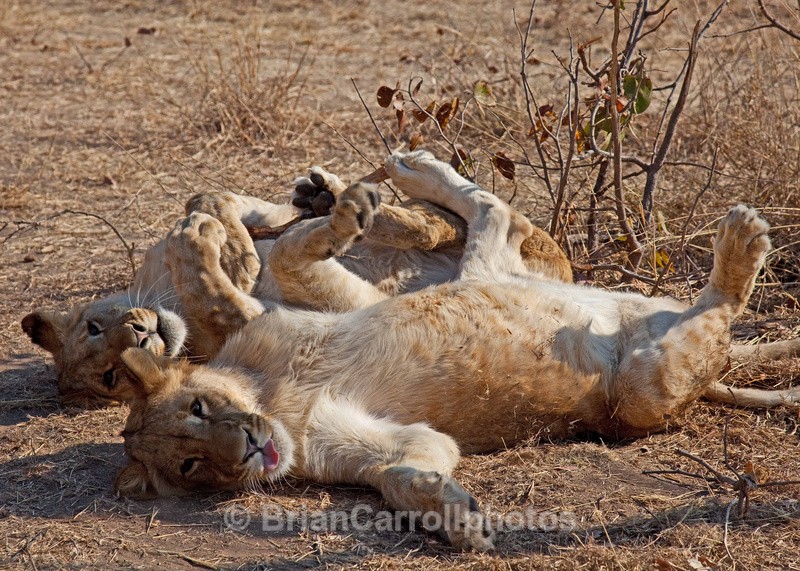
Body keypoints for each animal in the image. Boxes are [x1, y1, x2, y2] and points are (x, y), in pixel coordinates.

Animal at [21, 167, 571, 406]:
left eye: (94, 326)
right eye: (110, 377)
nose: (139, 335)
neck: (167, 298)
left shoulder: (246, 210)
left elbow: (209, 198)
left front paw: (233, 249)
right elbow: (217, 290)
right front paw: (221, 254)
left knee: (444, 220)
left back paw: (334, 193)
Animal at [115, 151, 799, 550]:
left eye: (199, 409)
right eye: (191, 466)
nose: (251, 450)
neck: (272, 397)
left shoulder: (318, 306)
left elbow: (280, 254)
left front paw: (339, 213)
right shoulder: (390, 442)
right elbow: (401, 475)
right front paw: (456, 517)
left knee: (493, 210)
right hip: (637, 392)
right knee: (499, 219)